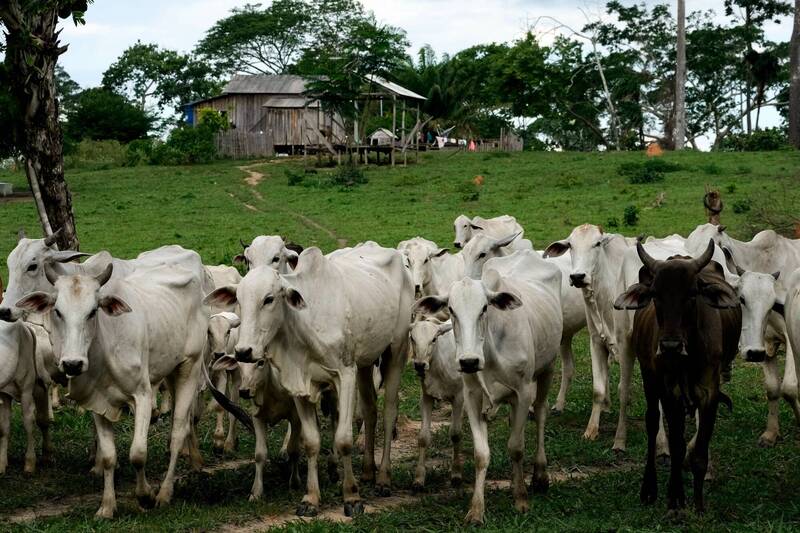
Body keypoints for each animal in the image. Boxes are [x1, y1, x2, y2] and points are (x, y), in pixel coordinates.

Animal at [0, 318, 51, 472]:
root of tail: (26, 327)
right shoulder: (4, 394)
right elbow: (3, 427)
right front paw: (2, 464)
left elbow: (28, 423)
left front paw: (29, 463)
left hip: (31, 387)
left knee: (35, 421)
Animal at [14, 260, 208, 516]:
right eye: (57, 311)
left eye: (93, 311)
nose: (73, 364)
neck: (105, 348)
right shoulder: (97, 402)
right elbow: (108, 457)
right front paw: (107, 506)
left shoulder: (143, 395)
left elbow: (138, 453)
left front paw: (145, 495)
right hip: (171, 371)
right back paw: (195, 461)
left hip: (190, 367)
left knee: (178, 431)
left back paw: (165, 492)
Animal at [205, 243, 412, 516]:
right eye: (238, 299)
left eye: (269, 299)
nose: (243, 351)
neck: (304, 323)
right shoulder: (300, 385)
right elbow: (311, 441)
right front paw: (311, 499)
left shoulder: (346, 374)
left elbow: (343, 439)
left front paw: (352, 497)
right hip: (366, 362)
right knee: (370, 410)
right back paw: (368, 471)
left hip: (396, 350)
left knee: (389, 412)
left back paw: (384, 479)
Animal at [406, 316, 462, 490]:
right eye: (412, 338)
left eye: (434, 339)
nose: (419, 365)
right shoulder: (426, 397)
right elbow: (423, 437)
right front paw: (419, 478)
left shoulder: (459, 397)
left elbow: (455, 434)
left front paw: (456, 474)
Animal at [616, 240, 740, 512]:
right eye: (655, 294)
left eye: (692, 293)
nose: (670, 346)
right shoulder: (668, 389)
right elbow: (675, 444)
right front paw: (675, 496)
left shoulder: (709, 392)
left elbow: (699, 452)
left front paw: (699, 504)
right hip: (649, 378)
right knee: (653, 423)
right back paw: (649, 489)